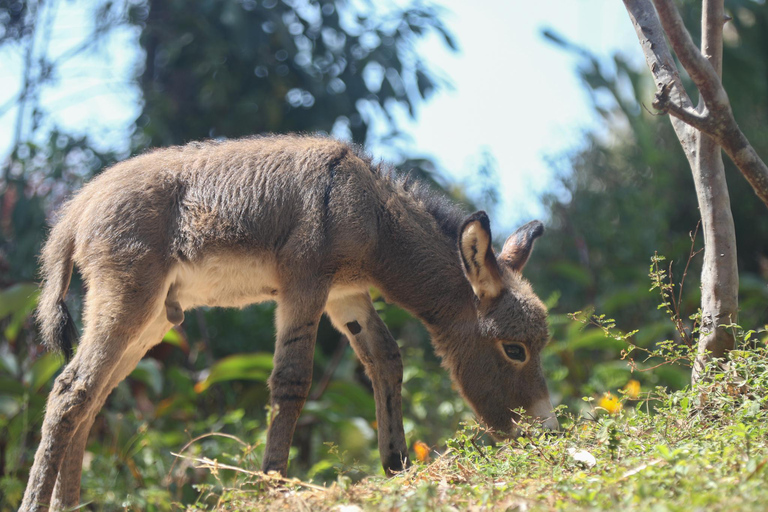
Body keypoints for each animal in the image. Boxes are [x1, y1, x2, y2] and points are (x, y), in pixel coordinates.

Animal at [19, 134, 560, 510]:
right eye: (515, 350)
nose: (551, 435)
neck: (374, 213)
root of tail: (79, 204)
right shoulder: (306, 285)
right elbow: (292, 381)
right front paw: (273, 484)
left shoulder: (346, 296)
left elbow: (386, 360)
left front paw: (397, 465)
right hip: (127, 298)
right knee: (71, 390)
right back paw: (36, 502)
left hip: (151, 319)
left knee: (92, 397)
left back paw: (68, 504)